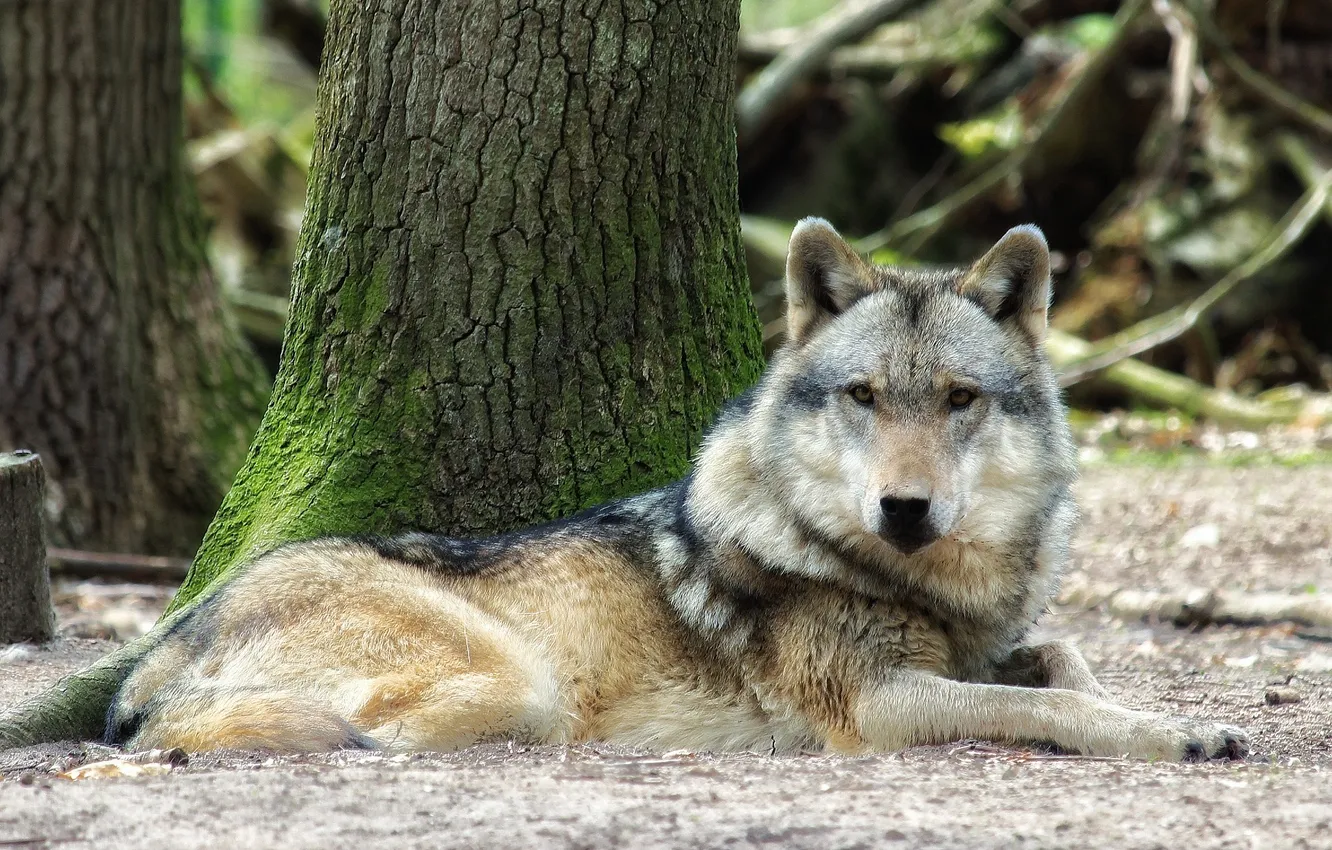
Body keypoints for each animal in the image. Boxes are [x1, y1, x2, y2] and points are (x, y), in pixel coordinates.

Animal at [107, 219, 1248, 761]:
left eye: (959, 399)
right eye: (865, 396)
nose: (904, 508)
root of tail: (152, 655)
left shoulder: (985, 647)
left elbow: (1068, 663)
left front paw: (1173, 717)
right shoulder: (877, 703)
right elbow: (1050, 707)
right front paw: (1165, 735)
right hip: (518, 681)